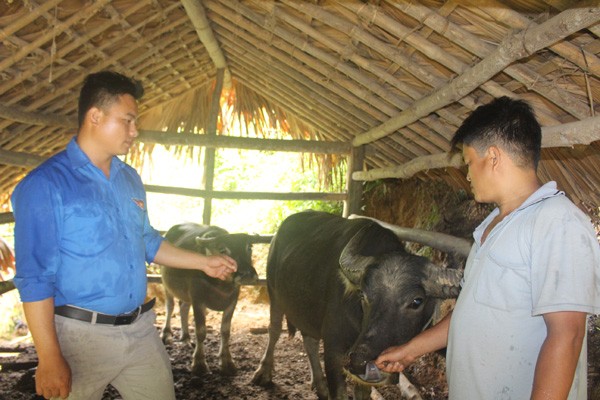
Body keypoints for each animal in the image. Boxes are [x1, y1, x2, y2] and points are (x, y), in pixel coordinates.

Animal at [162, 222, 270, 376]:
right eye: (223, 250)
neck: (221, 286)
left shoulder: (232, 302)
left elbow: (225, 331)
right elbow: (201, 332)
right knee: (170, 306)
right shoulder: (198, 300)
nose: (247, 274)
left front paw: (227, 361)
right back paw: (166, 335)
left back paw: (186, 338)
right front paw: (199, 363)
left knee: (183, 308)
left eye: (249, 247)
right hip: (166, 284)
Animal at [251, 211, 462, 398]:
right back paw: (263, 373)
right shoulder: (334, 351)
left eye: (417, 301)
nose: (361, 361)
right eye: (363, 295)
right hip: (273, 292)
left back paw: (319, 385)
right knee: (274, 329)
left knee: (309, 340)